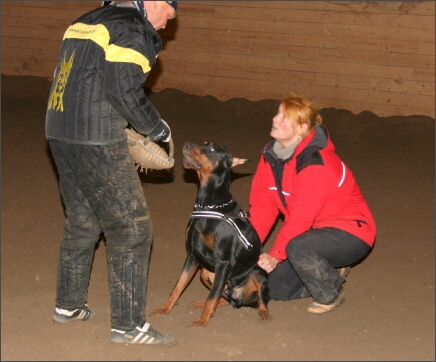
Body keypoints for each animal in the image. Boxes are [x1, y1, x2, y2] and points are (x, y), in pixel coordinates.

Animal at [152, 142, 270, 328]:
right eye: (205, 143)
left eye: (212, 149)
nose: (186, 144)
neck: (209, 207)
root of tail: (238, 298)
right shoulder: (192, 256)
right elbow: (178, 287)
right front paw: (165, 308)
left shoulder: (223, 262)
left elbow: (212, 295)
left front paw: (201, 321)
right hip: (206, 272)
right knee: (223, 297)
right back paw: (204, 305)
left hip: (258, 273)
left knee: (260, 299)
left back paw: (264, 312)